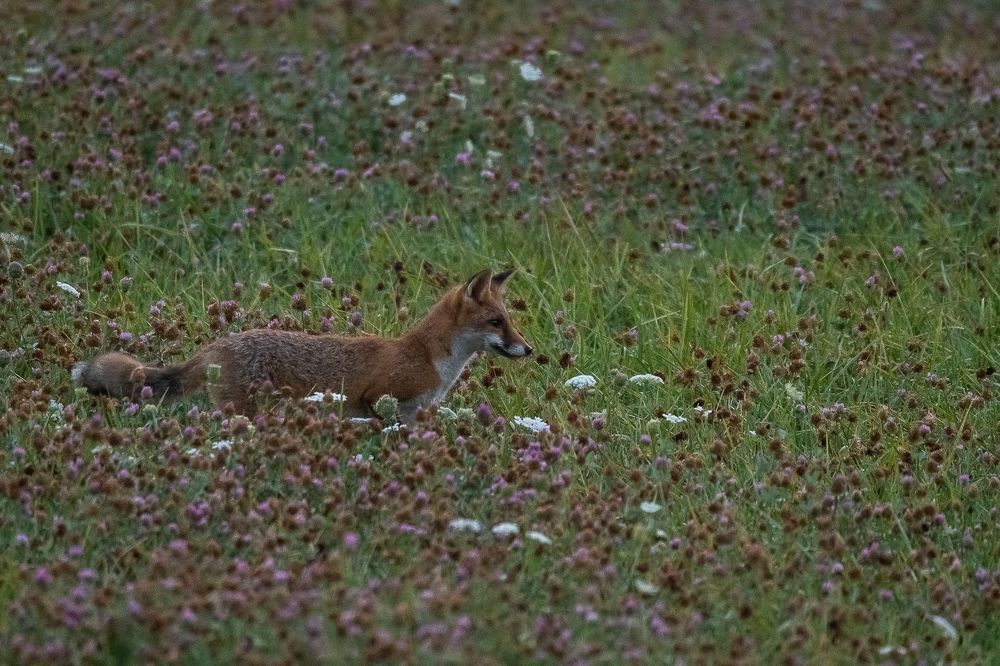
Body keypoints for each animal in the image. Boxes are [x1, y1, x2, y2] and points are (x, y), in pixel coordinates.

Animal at [72, 269, 532, 422]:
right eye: (497, 323)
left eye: (510, 322)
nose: (528, 350)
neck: (429, 359)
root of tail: (213, 347)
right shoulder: (374, 398)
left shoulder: (416, 413)